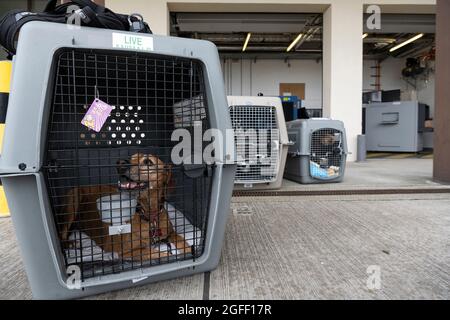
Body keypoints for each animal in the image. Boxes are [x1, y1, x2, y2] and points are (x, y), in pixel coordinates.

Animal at [59, 154, 191, 262]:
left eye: (148, 162)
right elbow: (159, 254)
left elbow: (183, 241)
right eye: (132, 156)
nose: (120, 162)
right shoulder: (126, 251)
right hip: (74, 197)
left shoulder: (171, 233)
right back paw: (71, 244)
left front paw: (190, 251)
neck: (149, 214)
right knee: (62, 235)